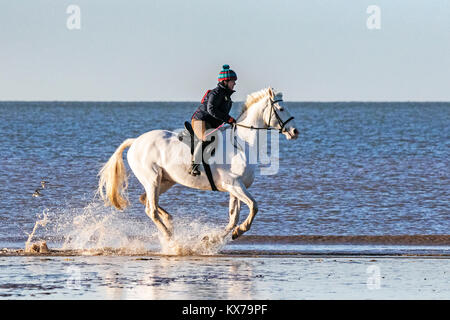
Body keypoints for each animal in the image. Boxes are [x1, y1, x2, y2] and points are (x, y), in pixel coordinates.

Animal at [100, 87, 300, 242]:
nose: (295, 131)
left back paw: (170, 222)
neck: (242, 143)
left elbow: (233, 218)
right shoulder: (234, 185)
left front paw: (214, 238)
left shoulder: (236, 188)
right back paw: (170, 237)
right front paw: (239, 231)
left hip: (165, 181)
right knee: (151, 209)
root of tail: (135, 142)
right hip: (152, 179)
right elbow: (254, 206)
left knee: (146, 201)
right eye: (281, 108)